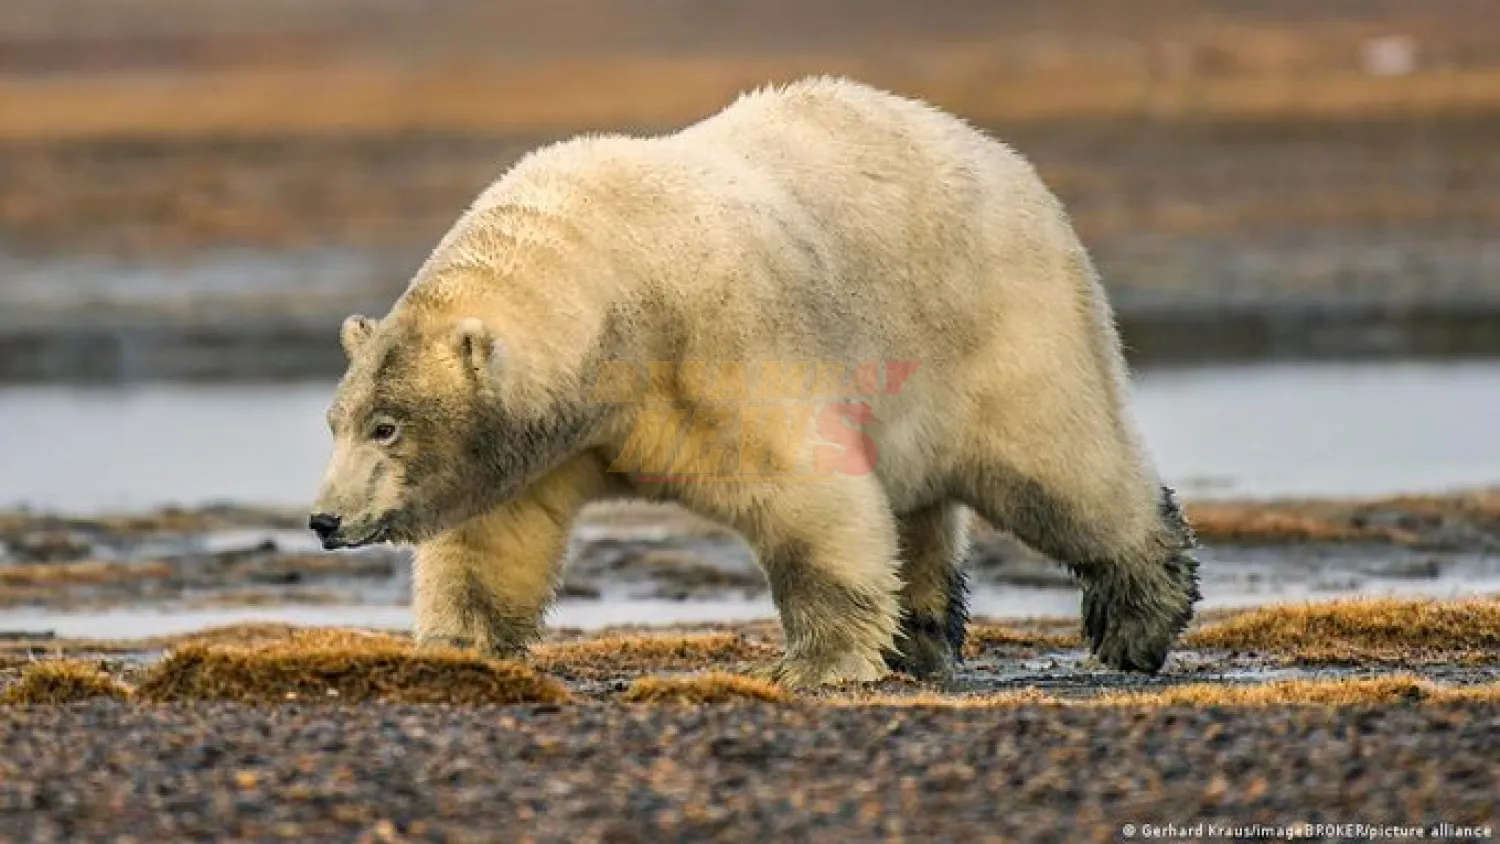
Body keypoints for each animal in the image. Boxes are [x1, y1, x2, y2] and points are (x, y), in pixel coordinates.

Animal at [309, 76, 1201, 687]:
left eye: (387, 424)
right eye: (337, 421)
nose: (325, 520)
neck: (610, 289)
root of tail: (1002, 157)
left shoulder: (722, 344)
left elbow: (809, 494)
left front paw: (816, 665)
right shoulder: (554, 433)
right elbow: (494, 536)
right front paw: (457, 647)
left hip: (1001, 324)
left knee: (1061, 474)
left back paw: (1139, 620)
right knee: (920, 508)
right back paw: (918, 634)